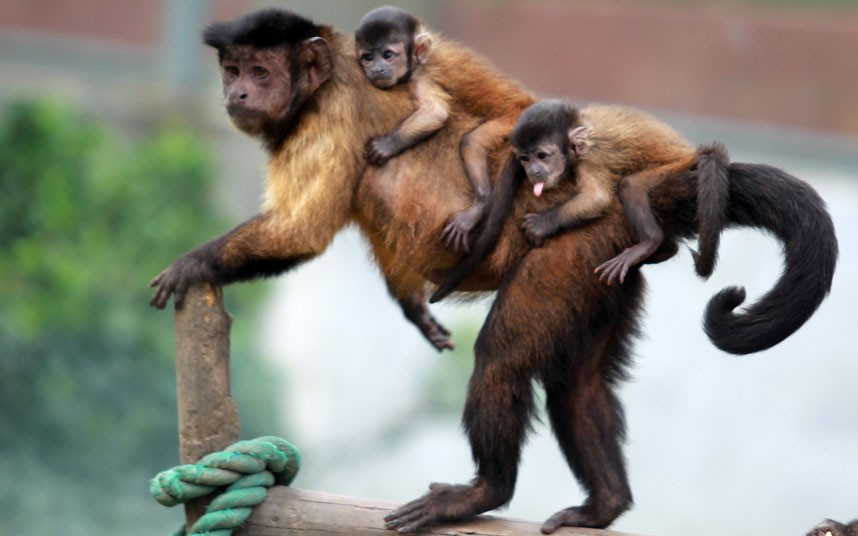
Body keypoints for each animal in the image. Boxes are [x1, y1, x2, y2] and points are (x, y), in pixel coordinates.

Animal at [354, 6, 536, 254]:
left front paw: (386, 146)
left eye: (388, 55)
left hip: (510, 121)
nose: (377, 69)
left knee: (471, 142)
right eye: (368, 57)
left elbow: (435, 113)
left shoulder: (422, 75)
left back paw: (481, 205)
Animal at [429, 99, 730, 303]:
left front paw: (540, 225)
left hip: (680, 169)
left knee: (631, 185)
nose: (533, 171)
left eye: (542, 156)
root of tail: (691, 152)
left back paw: (650, 242)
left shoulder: (590, 156)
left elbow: (597, 198)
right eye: (525, 159)